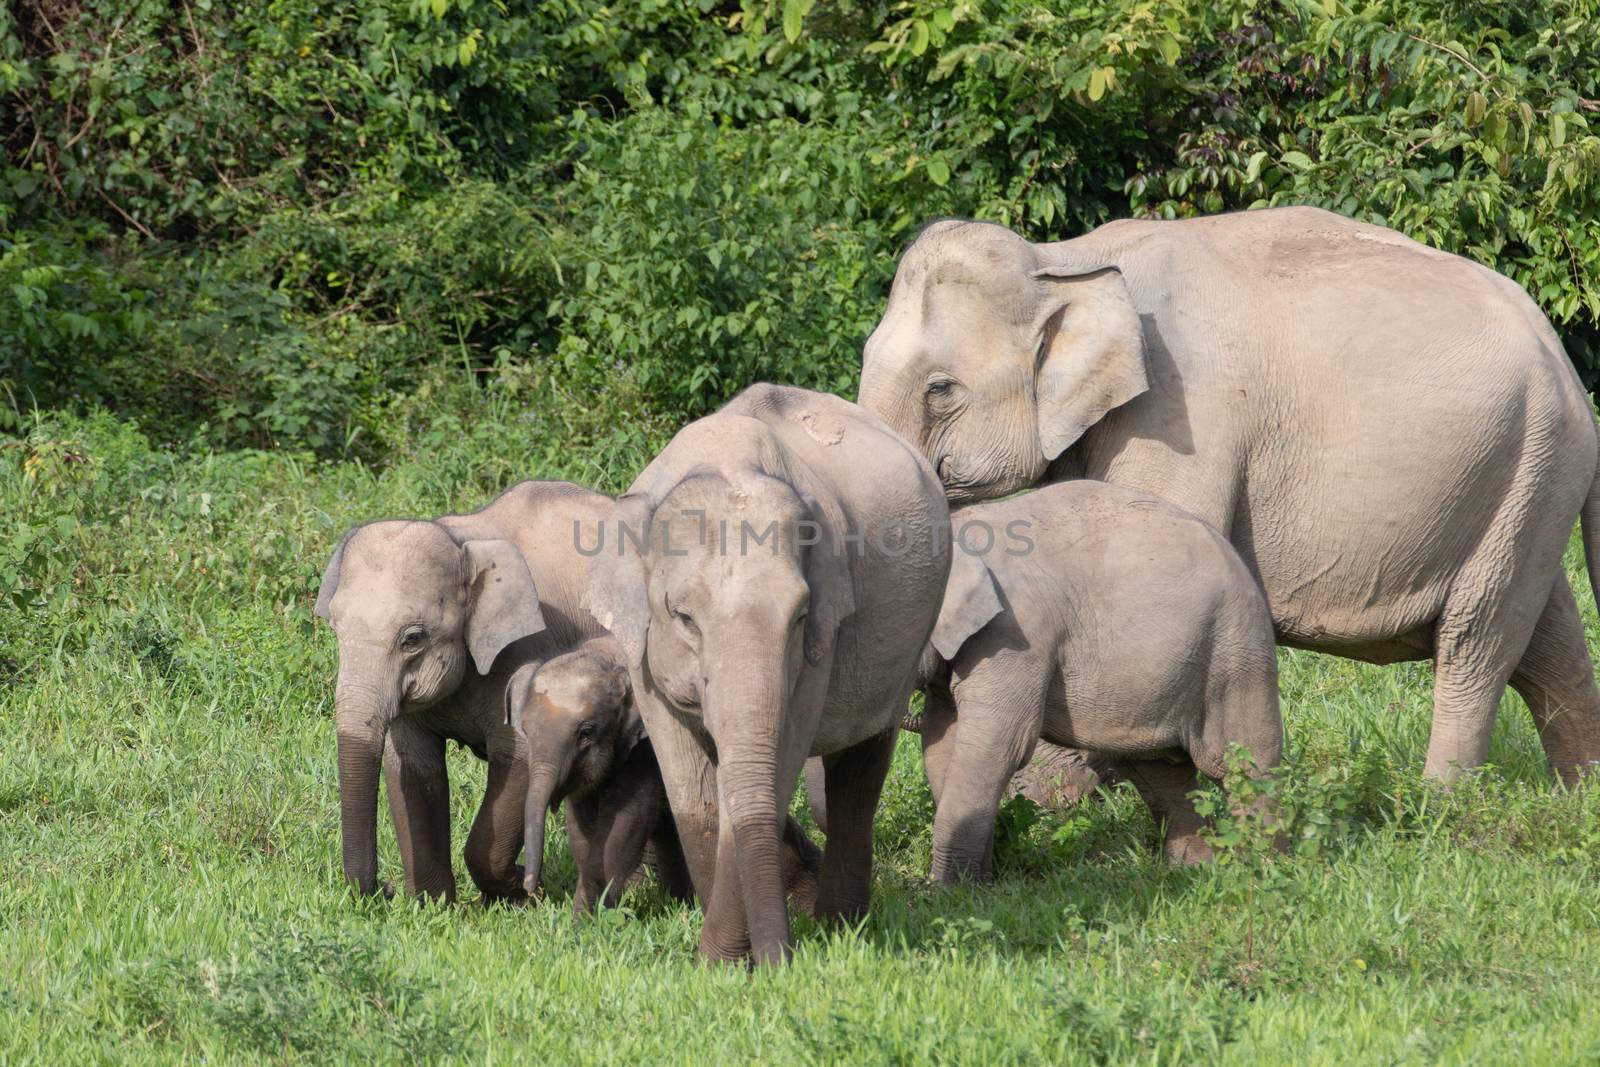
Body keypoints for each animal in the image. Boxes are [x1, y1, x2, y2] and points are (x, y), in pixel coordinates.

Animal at [315, 483, 608, 902]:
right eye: (336, 630)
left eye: (413, 639)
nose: (385, 888)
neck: (461, 543)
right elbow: (411, 765)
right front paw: (433, 904)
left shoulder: (526, 651)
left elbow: (520, 756)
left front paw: (516, 893)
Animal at [588, 383, 947, 966]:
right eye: (682, 616)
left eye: (799, 616)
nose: (782, 962)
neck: (727, 460)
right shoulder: (640, 649)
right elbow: (693, 790)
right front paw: (719, 964)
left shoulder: (822, 640)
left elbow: (775, 768)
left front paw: (722, 962)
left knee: (860, 773)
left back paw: (840, 926)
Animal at [857, 206, 1600, 783]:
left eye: (940, 388)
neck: (1066, 260)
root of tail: (1562, 355)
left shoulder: (1179, 416)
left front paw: (1047, 800)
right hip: (1527, 479)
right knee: (1547, 632)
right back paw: (1576, 796)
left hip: (1533, 460)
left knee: (1479, 639)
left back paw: (1438, 802)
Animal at [921, 479, 1280, 883]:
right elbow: (940, 745)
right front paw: (977, 886)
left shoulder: (1016, 637)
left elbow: (998, 746)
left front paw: (950, 891)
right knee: (1161, 774)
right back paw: (1193, 870)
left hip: (1236, 652)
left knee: (1243, 766)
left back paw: (1264, 870)